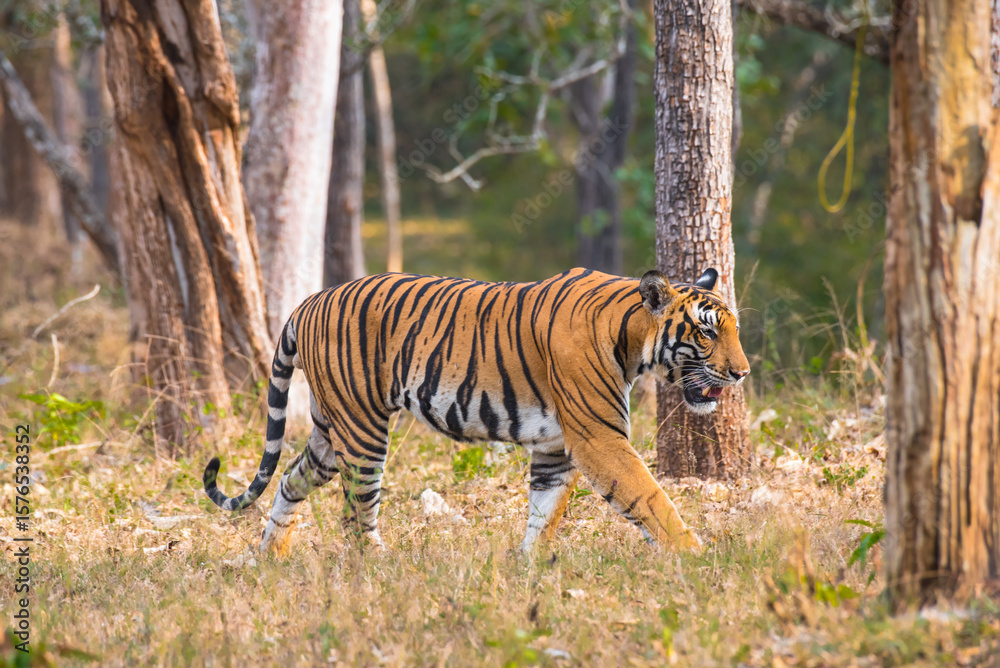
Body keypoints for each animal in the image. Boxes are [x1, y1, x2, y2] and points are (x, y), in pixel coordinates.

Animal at [203, 267, 750, 554]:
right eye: (706, 331)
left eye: (735, 329)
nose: (742, 373)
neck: (632, 339)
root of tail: (309, 301)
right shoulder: (599, 438)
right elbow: (652, 499)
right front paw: (698, 560)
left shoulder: (556, 448)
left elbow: (545, 513)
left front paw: (530, 568)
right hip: (362, 431)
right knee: (357, 514)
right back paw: (376, 566)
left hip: (328, 429)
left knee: (290, 478)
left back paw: (269, 558)